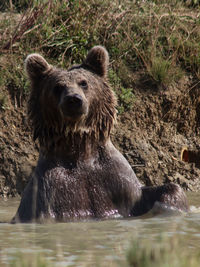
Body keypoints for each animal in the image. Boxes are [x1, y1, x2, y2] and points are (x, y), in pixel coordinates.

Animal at [12, 46, 188, 224]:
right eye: (57, 87)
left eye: (84, 82)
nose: (73, 99)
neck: (79, 147)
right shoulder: (50, 188)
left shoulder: (116, 179)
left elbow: (160, 192)